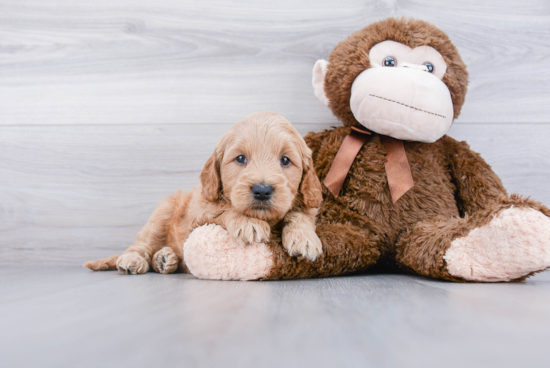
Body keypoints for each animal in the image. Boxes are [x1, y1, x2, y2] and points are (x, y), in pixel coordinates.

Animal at [85, 111, 324, 274]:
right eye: (240, 158)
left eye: (285, 160)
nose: (262, 190)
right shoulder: (198, 214)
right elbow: (224, 209)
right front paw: (247, 222)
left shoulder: (307, 203)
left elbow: (299, 214)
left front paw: (304, 238)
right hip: (162, 214)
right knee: (141, 244)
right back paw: (133, 259)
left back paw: (165, 258)